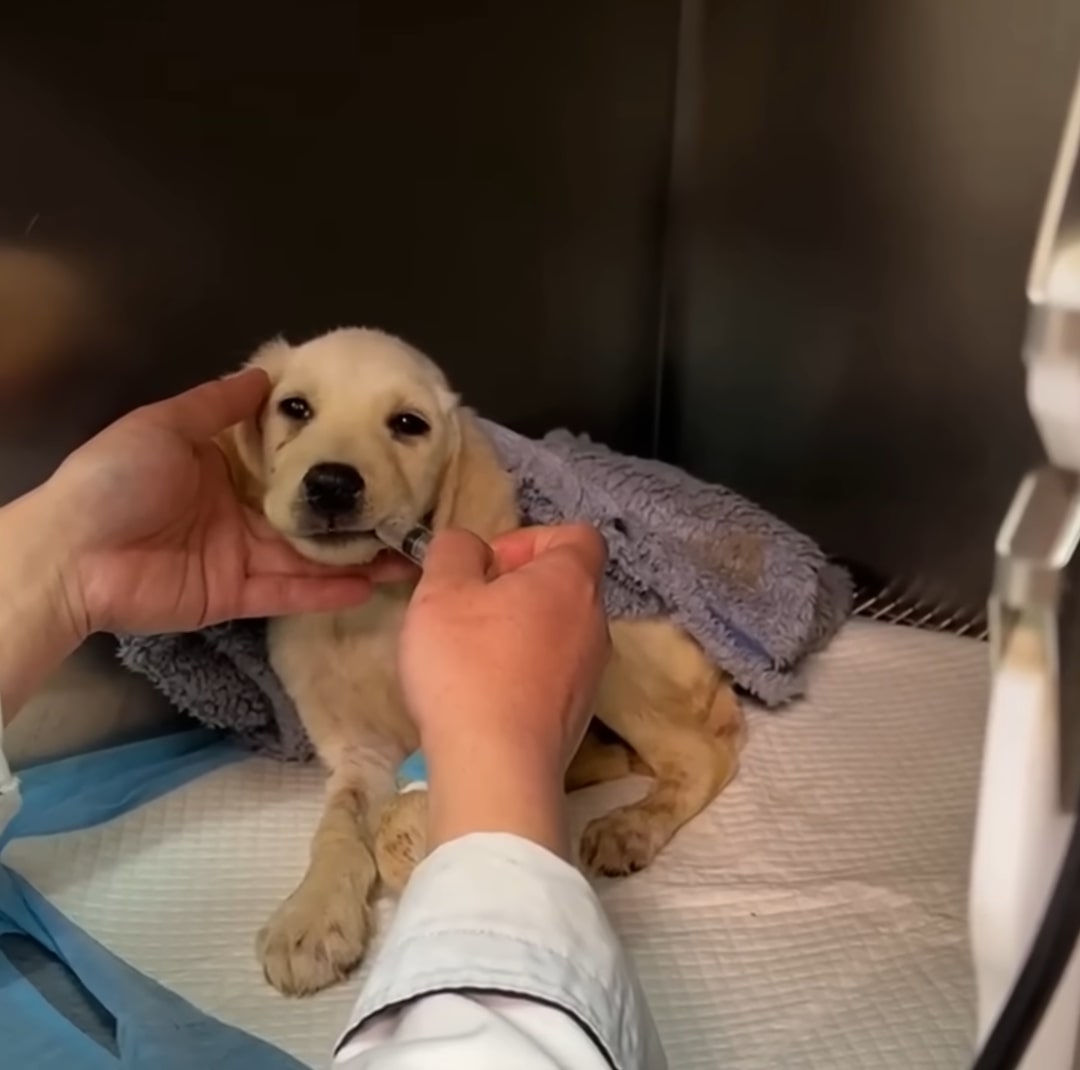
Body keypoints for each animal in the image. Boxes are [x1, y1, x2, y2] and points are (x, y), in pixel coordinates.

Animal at [219, 326, 743, 997]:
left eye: (409, 424)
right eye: (295, 408)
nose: (331, 483)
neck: (365, 615)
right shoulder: (358, 754)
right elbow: (337, 826)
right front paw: (310, 916)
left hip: (615, 657)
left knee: (699, 756)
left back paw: (632, 824)